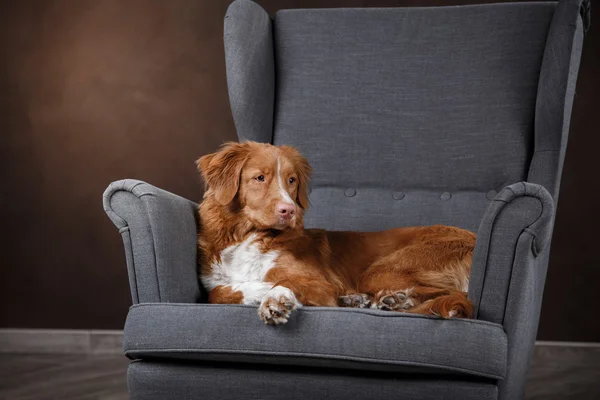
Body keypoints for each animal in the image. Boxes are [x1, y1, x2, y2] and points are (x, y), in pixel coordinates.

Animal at [199, 141, 476, 324]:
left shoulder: (321, 283)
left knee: (457, 294)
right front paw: (258, 290)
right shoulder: (214, 280)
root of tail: (474, 237)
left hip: (383, 271)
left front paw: (274, 297)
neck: (248, 237)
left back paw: (396, 300)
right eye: (259, 178)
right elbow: (216, 292)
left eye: (291, 180)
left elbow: (284, 281)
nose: (289, 211)